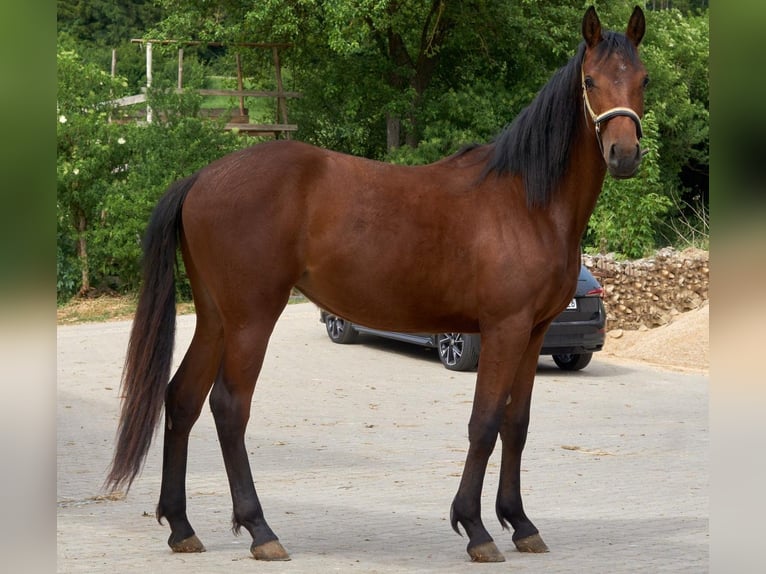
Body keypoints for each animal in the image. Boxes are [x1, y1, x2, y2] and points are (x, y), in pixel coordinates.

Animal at [107, 5, 648, 564]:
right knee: (229, 408)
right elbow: (484, 423)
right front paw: (475, 527)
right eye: (590, 80)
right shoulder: (504, 329)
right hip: (250, 320)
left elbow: (515, 425)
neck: (527, 201)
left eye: (643, 79)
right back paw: (260, 530)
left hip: (216, 318)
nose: (624, 154)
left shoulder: (534, 332)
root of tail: (201, 179)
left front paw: (520, 523)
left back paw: (181, 526)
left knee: (183, 400)